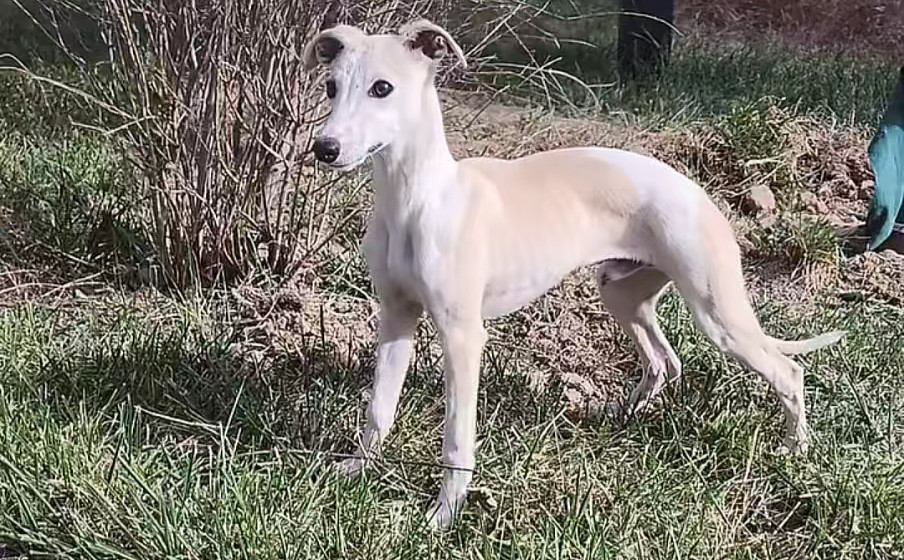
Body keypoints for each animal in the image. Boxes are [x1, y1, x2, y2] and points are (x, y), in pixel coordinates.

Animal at [302, 19, 844, 529]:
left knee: (787, 370)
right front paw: (356, 468)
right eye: (330, 86)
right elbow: (379, 407)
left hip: (718, 314)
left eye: (383, 88)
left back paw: (796, 450)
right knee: (664, 360)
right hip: (622, 293)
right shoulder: (396, 316)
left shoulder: (462, 335)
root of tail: (696, 189)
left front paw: (443, 514)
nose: (323, 148)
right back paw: (622, 417)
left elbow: (457, 437)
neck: (417, 198)